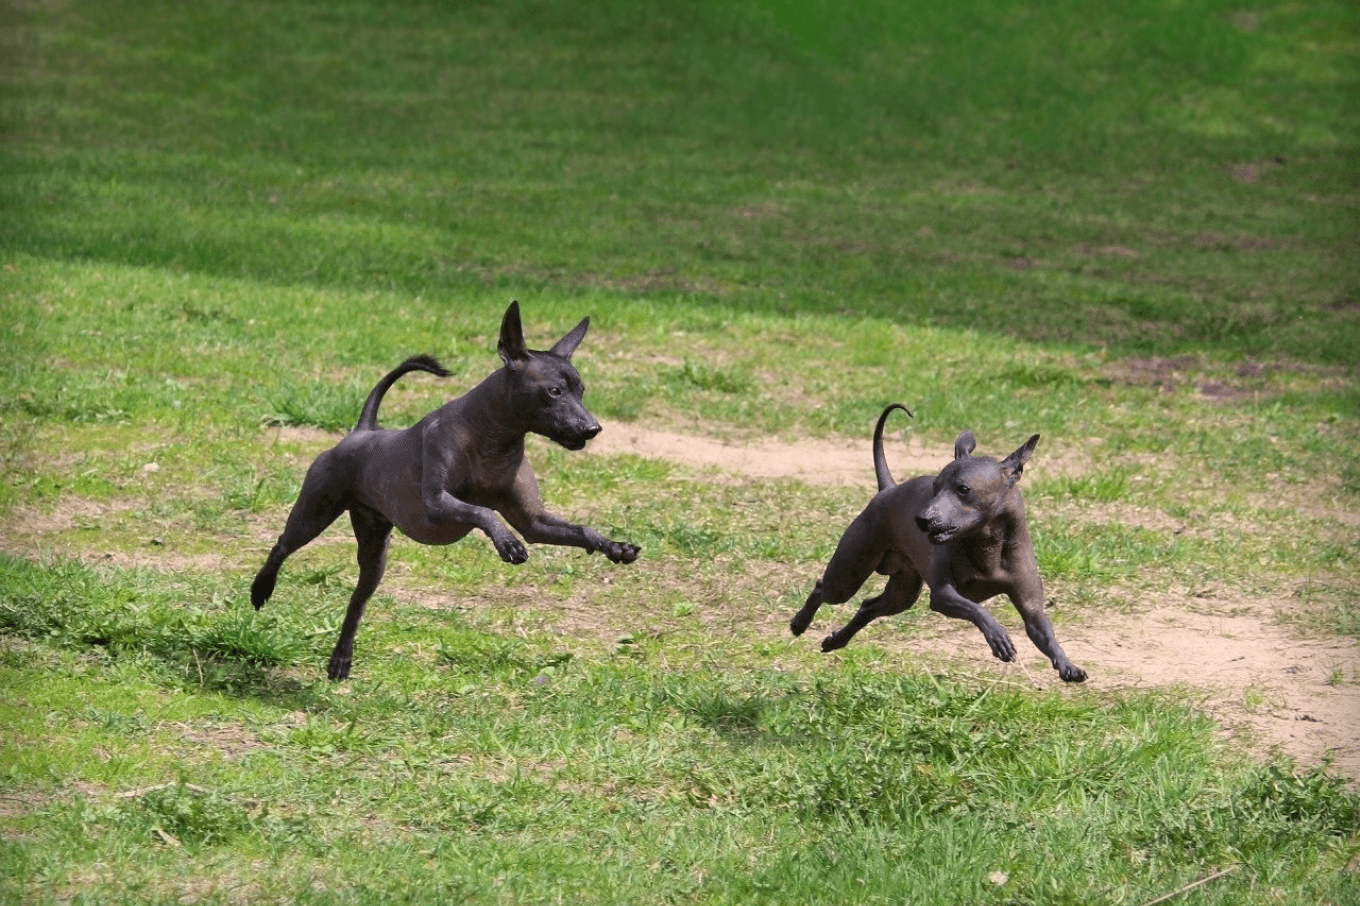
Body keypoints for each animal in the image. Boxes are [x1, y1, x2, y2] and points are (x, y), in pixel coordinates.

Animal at [254, 303, 641, 677]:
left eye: (581, 391)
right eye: (554, 391)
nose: (592, 429)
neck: (492, 440)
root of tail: (363, 431)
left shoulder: (535, 522)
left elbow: (581, 529)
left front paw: (615, 547)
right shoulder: (437, 504)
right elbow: (483, 510)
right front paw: (507, 542)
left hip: (374, 553)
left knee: (357, 602)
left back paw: (340, 659)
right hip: (314, 513)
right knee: (282, 546)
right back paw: (260, 589)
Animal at [794, 402, 1088, 677]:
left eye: (963, 489)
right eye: (935, 487)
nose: (921, 519)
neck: (988, 545)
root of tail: (888, 489)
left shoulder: (1032, 609)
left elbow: (1047, 633)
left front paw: (1067, 665)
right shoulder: (943, 595)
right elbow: (976, 609)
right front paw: (997, 636)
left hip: (902, 594)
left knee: (868, 607)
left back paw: (836, 641)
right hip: (849, 575)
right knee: (823, 588)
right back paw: (799, 623)